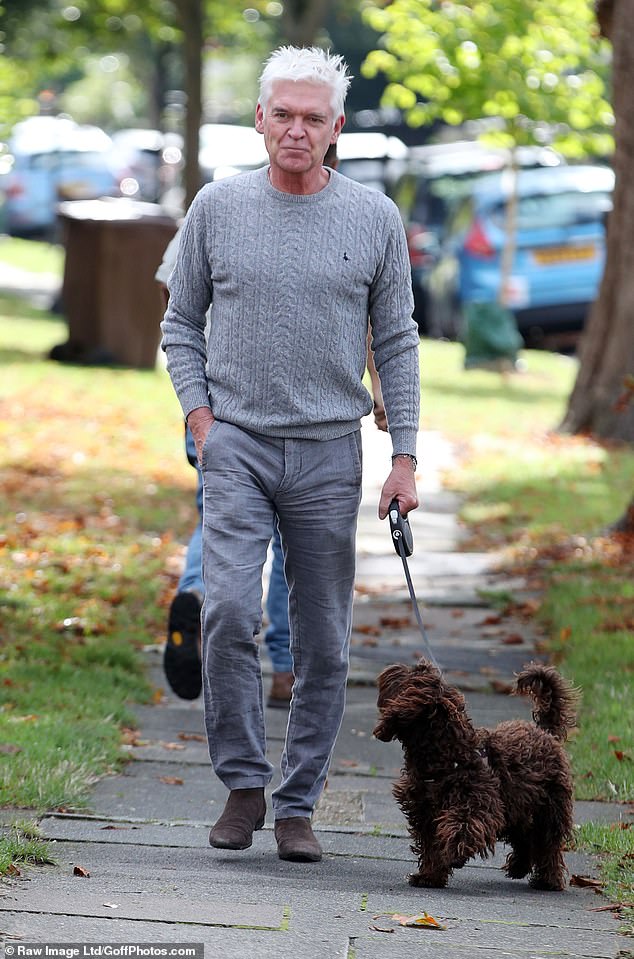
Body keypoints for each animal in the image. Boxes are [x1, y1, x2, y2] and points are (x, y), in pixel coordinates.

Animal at [376, 660, 576, 892]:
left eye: (414, 672)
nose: (390, 668)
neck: (448, 755)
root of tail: (546, 732)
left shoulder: (476, 804)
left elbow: (463, 828)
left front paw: (454, 854)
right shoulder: (425, 813)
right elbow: (431, 847)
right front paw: (429, 876)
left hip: (549, 807)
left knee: (548, 844)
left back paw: (548, 881)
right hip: (519, 806)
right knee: (525, 838)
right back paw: (519, 867)